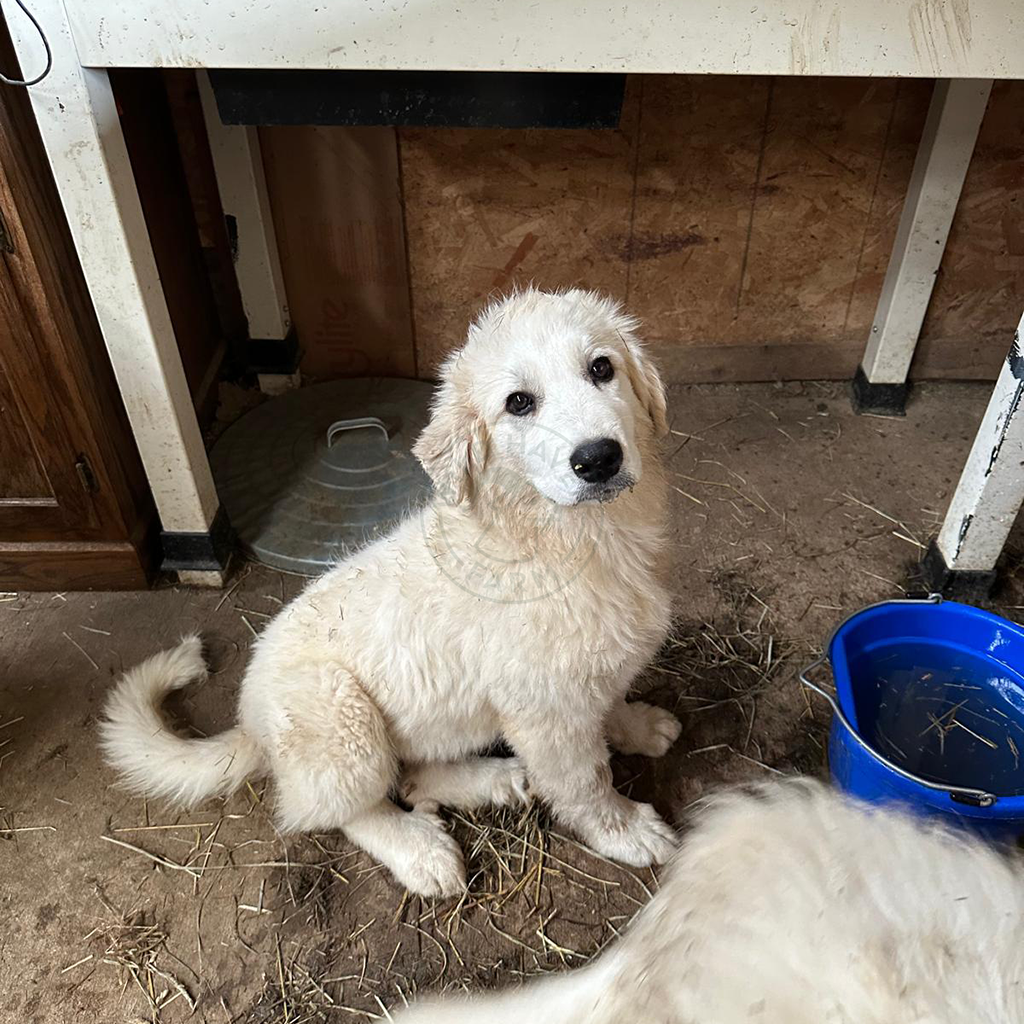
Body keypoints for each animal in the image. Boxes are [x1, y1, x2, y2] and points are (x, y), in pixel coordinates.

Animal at [101, 288, 679, 897]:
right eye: (519, 403)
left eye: (602, 368)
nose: (599, 459)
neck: (579, 538)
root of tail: (250, 725)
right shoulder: (549, 712)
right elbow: (586, 780)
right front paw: (627, 831)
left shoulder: (590, 675)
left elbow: (611, 701)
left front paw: (638, 725)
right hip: (342, 722)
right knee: (338, 810)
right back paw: (422, 851)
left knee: (413, 778)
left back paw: (497, 780)